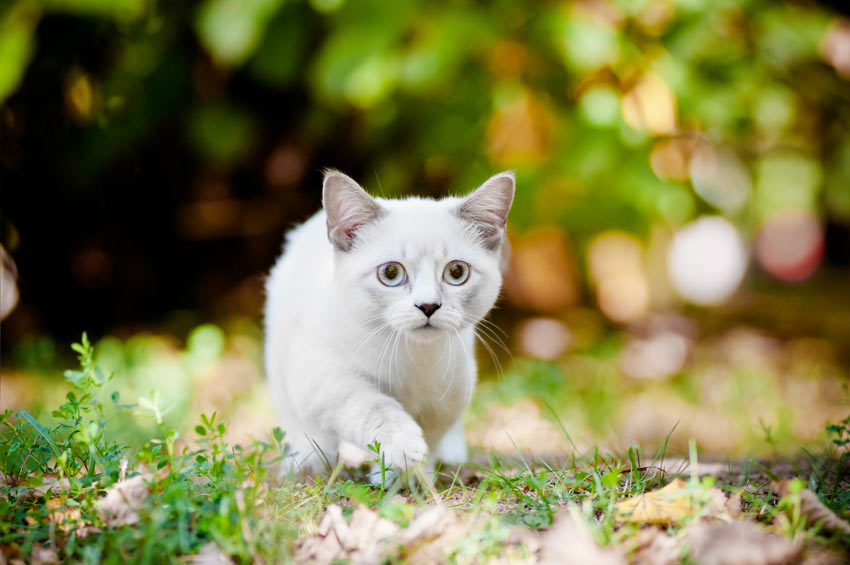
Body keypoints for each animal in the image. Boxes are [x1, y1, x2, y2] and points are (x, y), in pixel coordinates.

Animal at [264, 170, 512, 474]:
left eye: (456, 272)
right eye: (391, 273)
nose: (428, 305)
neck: (412, 358)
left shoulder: (451, 391)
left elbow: (432, 433)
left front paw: (408, 474)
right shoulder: (320, 373)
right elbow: (371, 405)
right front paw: (403, 448)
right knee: (300, 424)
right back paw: (307, 463)